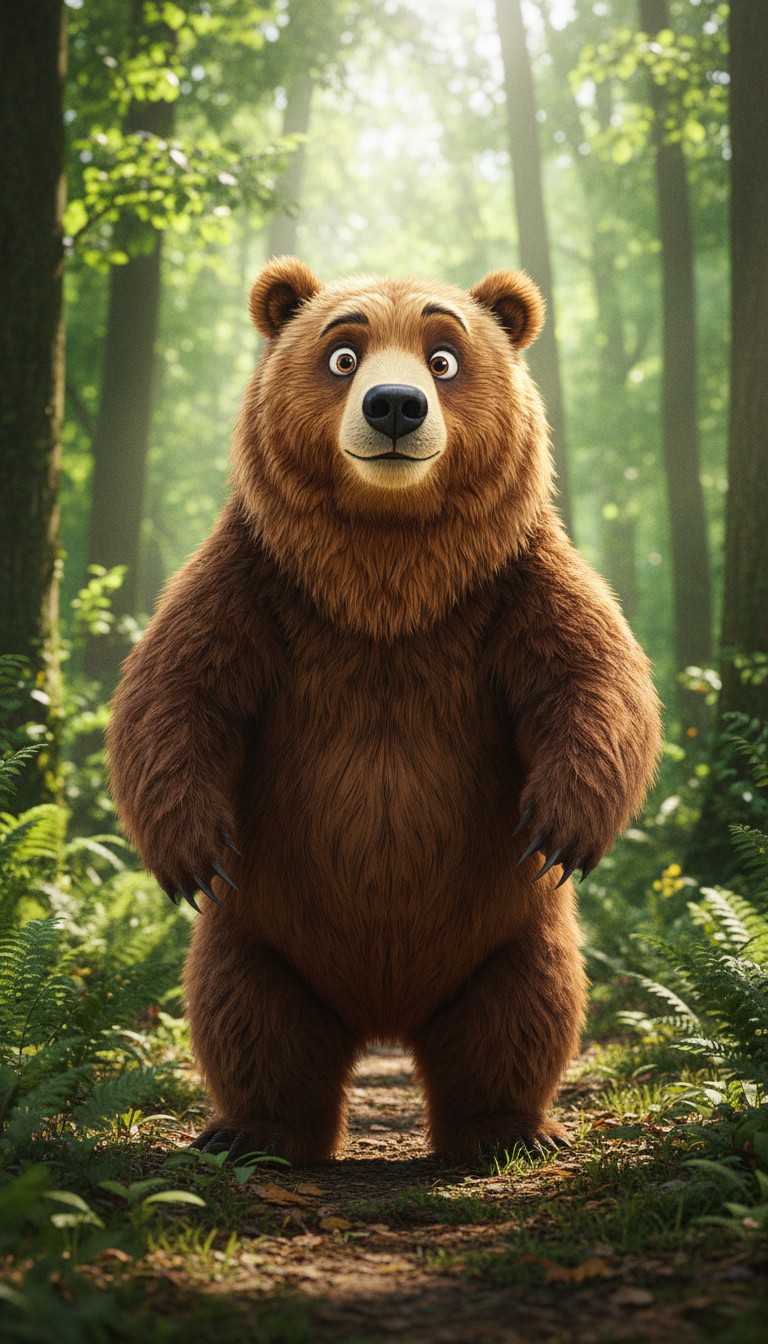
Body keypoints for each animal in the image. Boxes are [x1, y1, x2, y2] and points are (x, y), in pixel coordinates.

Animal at [107, 256, 662, 1165]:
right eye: (343, 356)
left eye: (443, 357)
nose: (394, 405)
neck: (388, 567)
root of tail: (385, 1022)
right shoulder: (257, 582)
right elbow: (175, 693)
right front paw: (191, 851)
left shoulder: (511, 582)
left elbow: (593, 679)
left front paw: (561, 826)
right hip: (260, 933)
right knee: (247, 1015)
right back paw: (254, 1133)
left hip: (512, 934)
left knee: (522, 1013)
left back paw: (508, 1132)